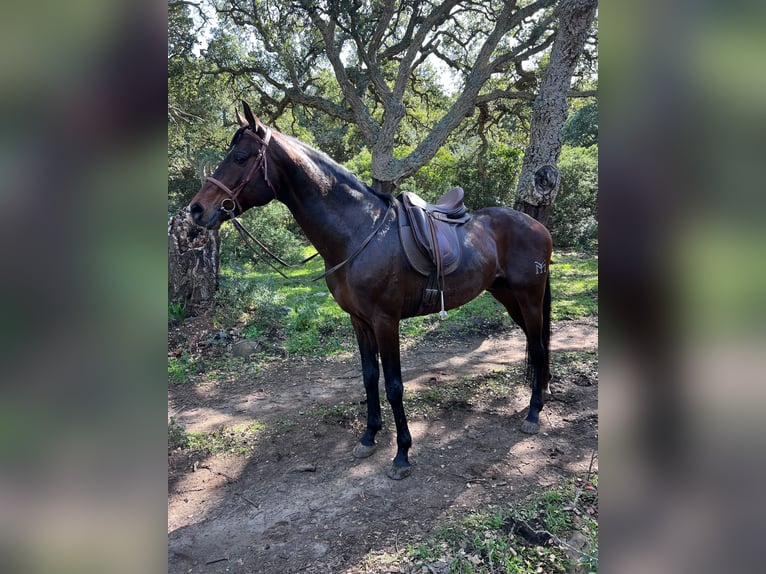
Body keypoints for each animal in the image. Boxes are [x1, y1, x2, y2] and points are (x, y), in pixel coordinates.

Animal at [190, 103, 556, 482]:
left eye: (241, 157)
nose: (196, 210)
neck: (359, 233)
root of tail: (538, 226)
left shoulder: (385, 321)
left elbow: (394, 385)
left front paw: (402, 454)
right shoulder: (360, 321)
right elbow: (369, 378)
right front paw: (368, 437)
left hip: (529, 297)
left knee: (538, 346)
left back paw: (533, 414)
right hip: (508, 297)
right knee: (537, 343)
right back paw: (541, 395)